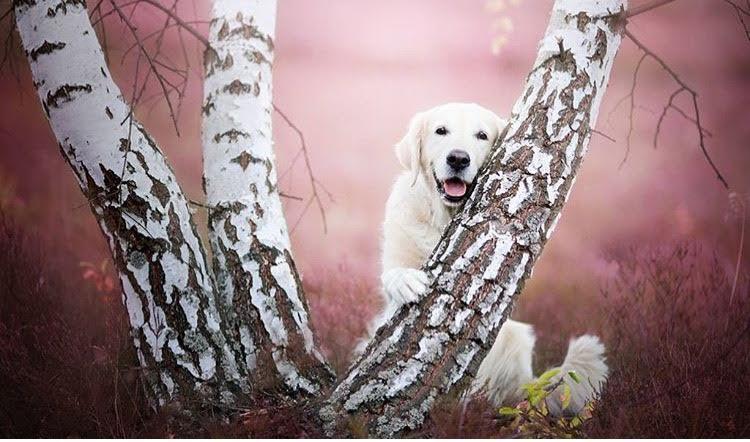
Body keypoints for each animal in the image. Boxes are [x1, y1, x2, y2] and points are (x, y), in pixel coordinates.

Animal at [374, 102, 608, 412]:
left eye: (482, 135)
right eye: (441, 130)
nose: (458, 159)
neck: (444, 219)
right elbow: (392, 274)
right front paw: (404, 281)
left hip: (514, 339)